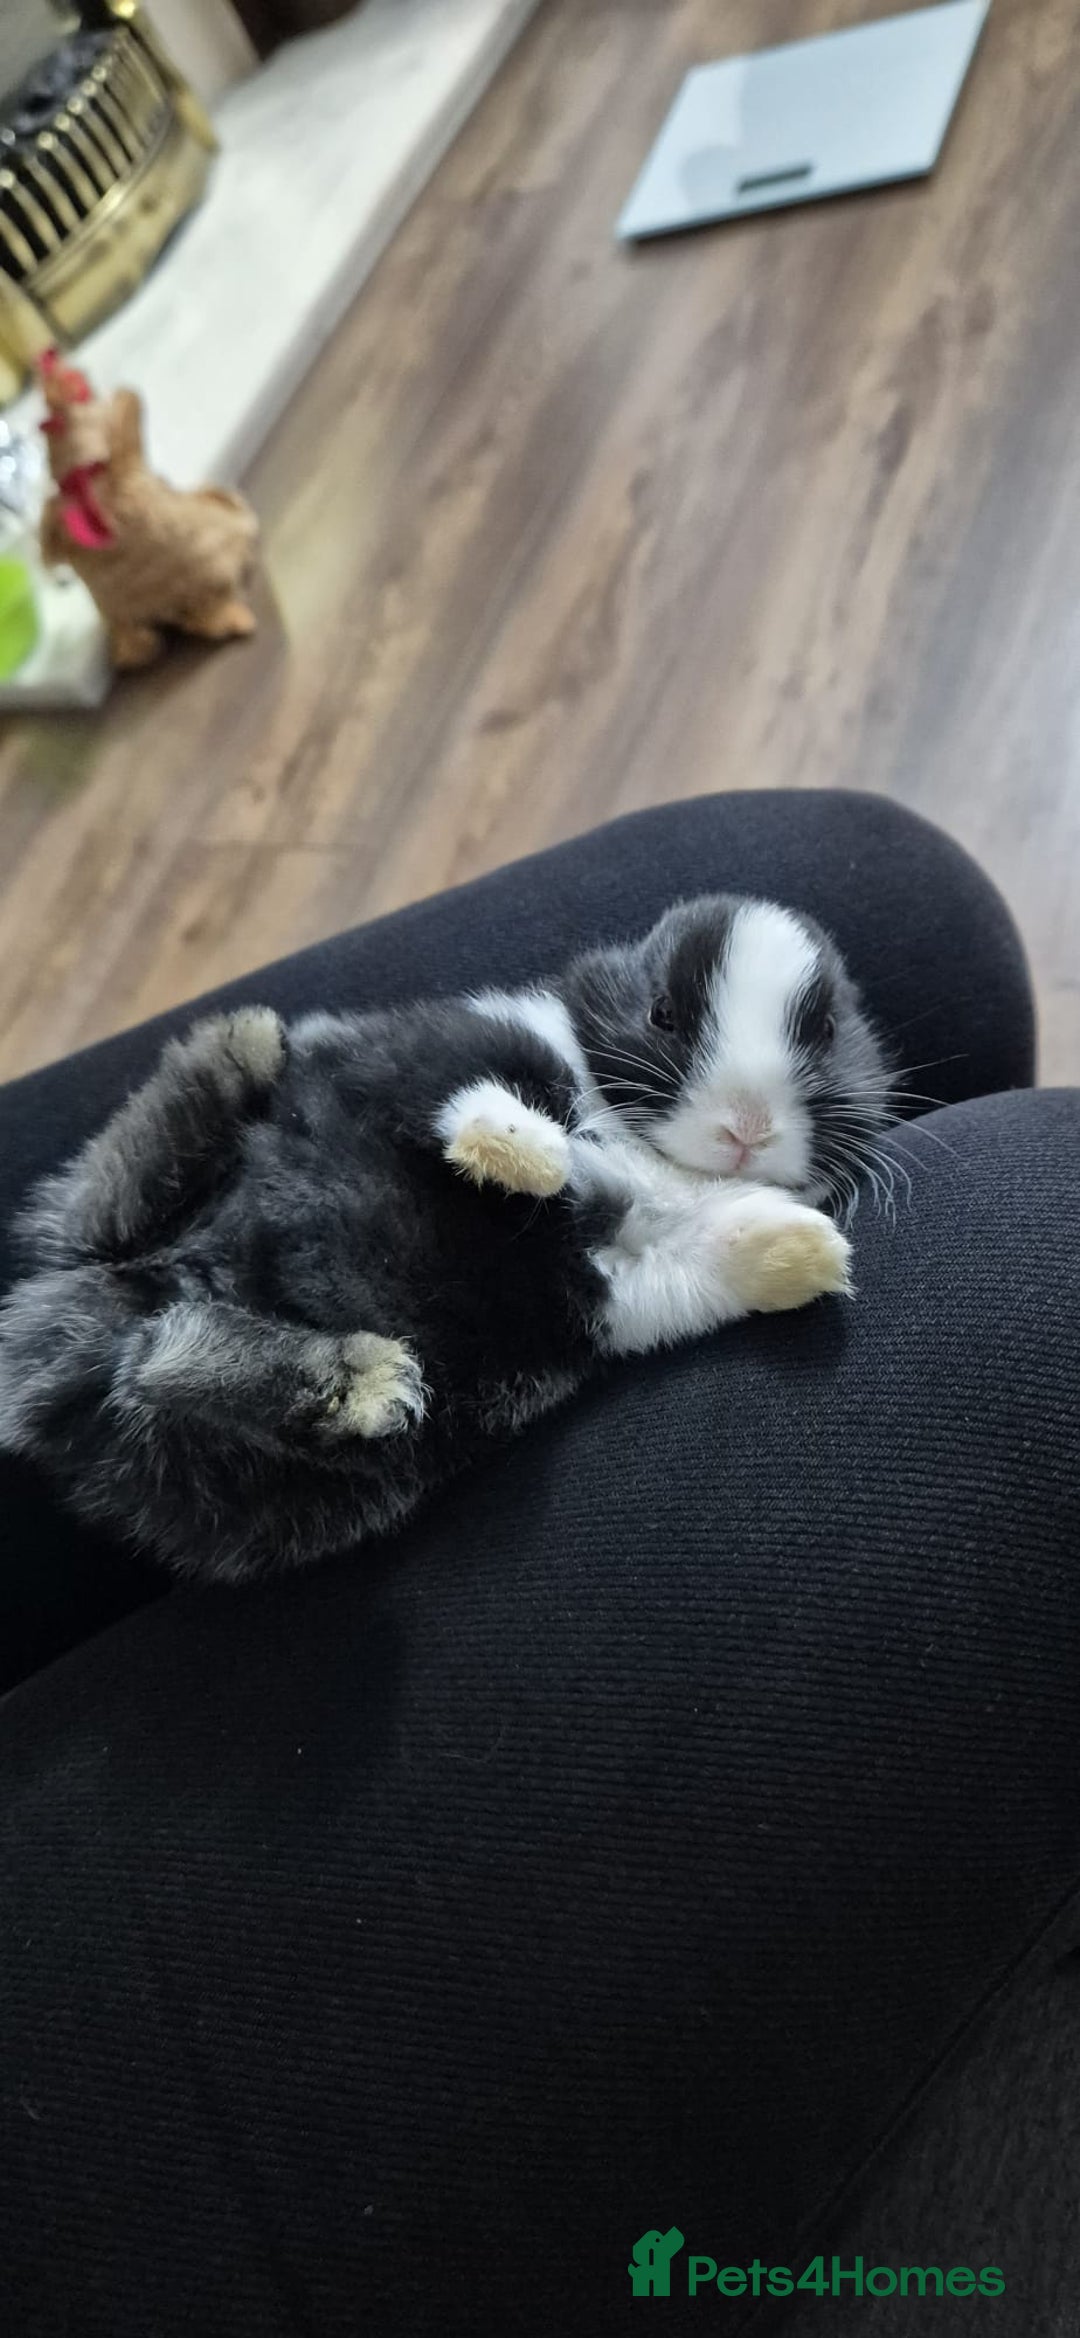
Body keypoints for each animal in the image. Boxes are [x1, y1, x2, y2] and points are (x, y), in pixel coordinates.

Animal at [0, 895, 892, 1585]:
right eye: (663, 1015)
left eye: (824, 1028)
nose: (746, 1127)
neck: (651, 1159)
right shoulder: (442, 1054)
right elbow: (478, 1104)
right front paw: (530, 1161)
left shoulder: (621, 1284)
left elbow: (717, 1259)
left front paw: (810, 1256)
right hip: (107, 1237)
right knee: (107, 1212)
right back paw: (239, 1045)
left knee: (159, 1361)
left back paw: (359, 1384)